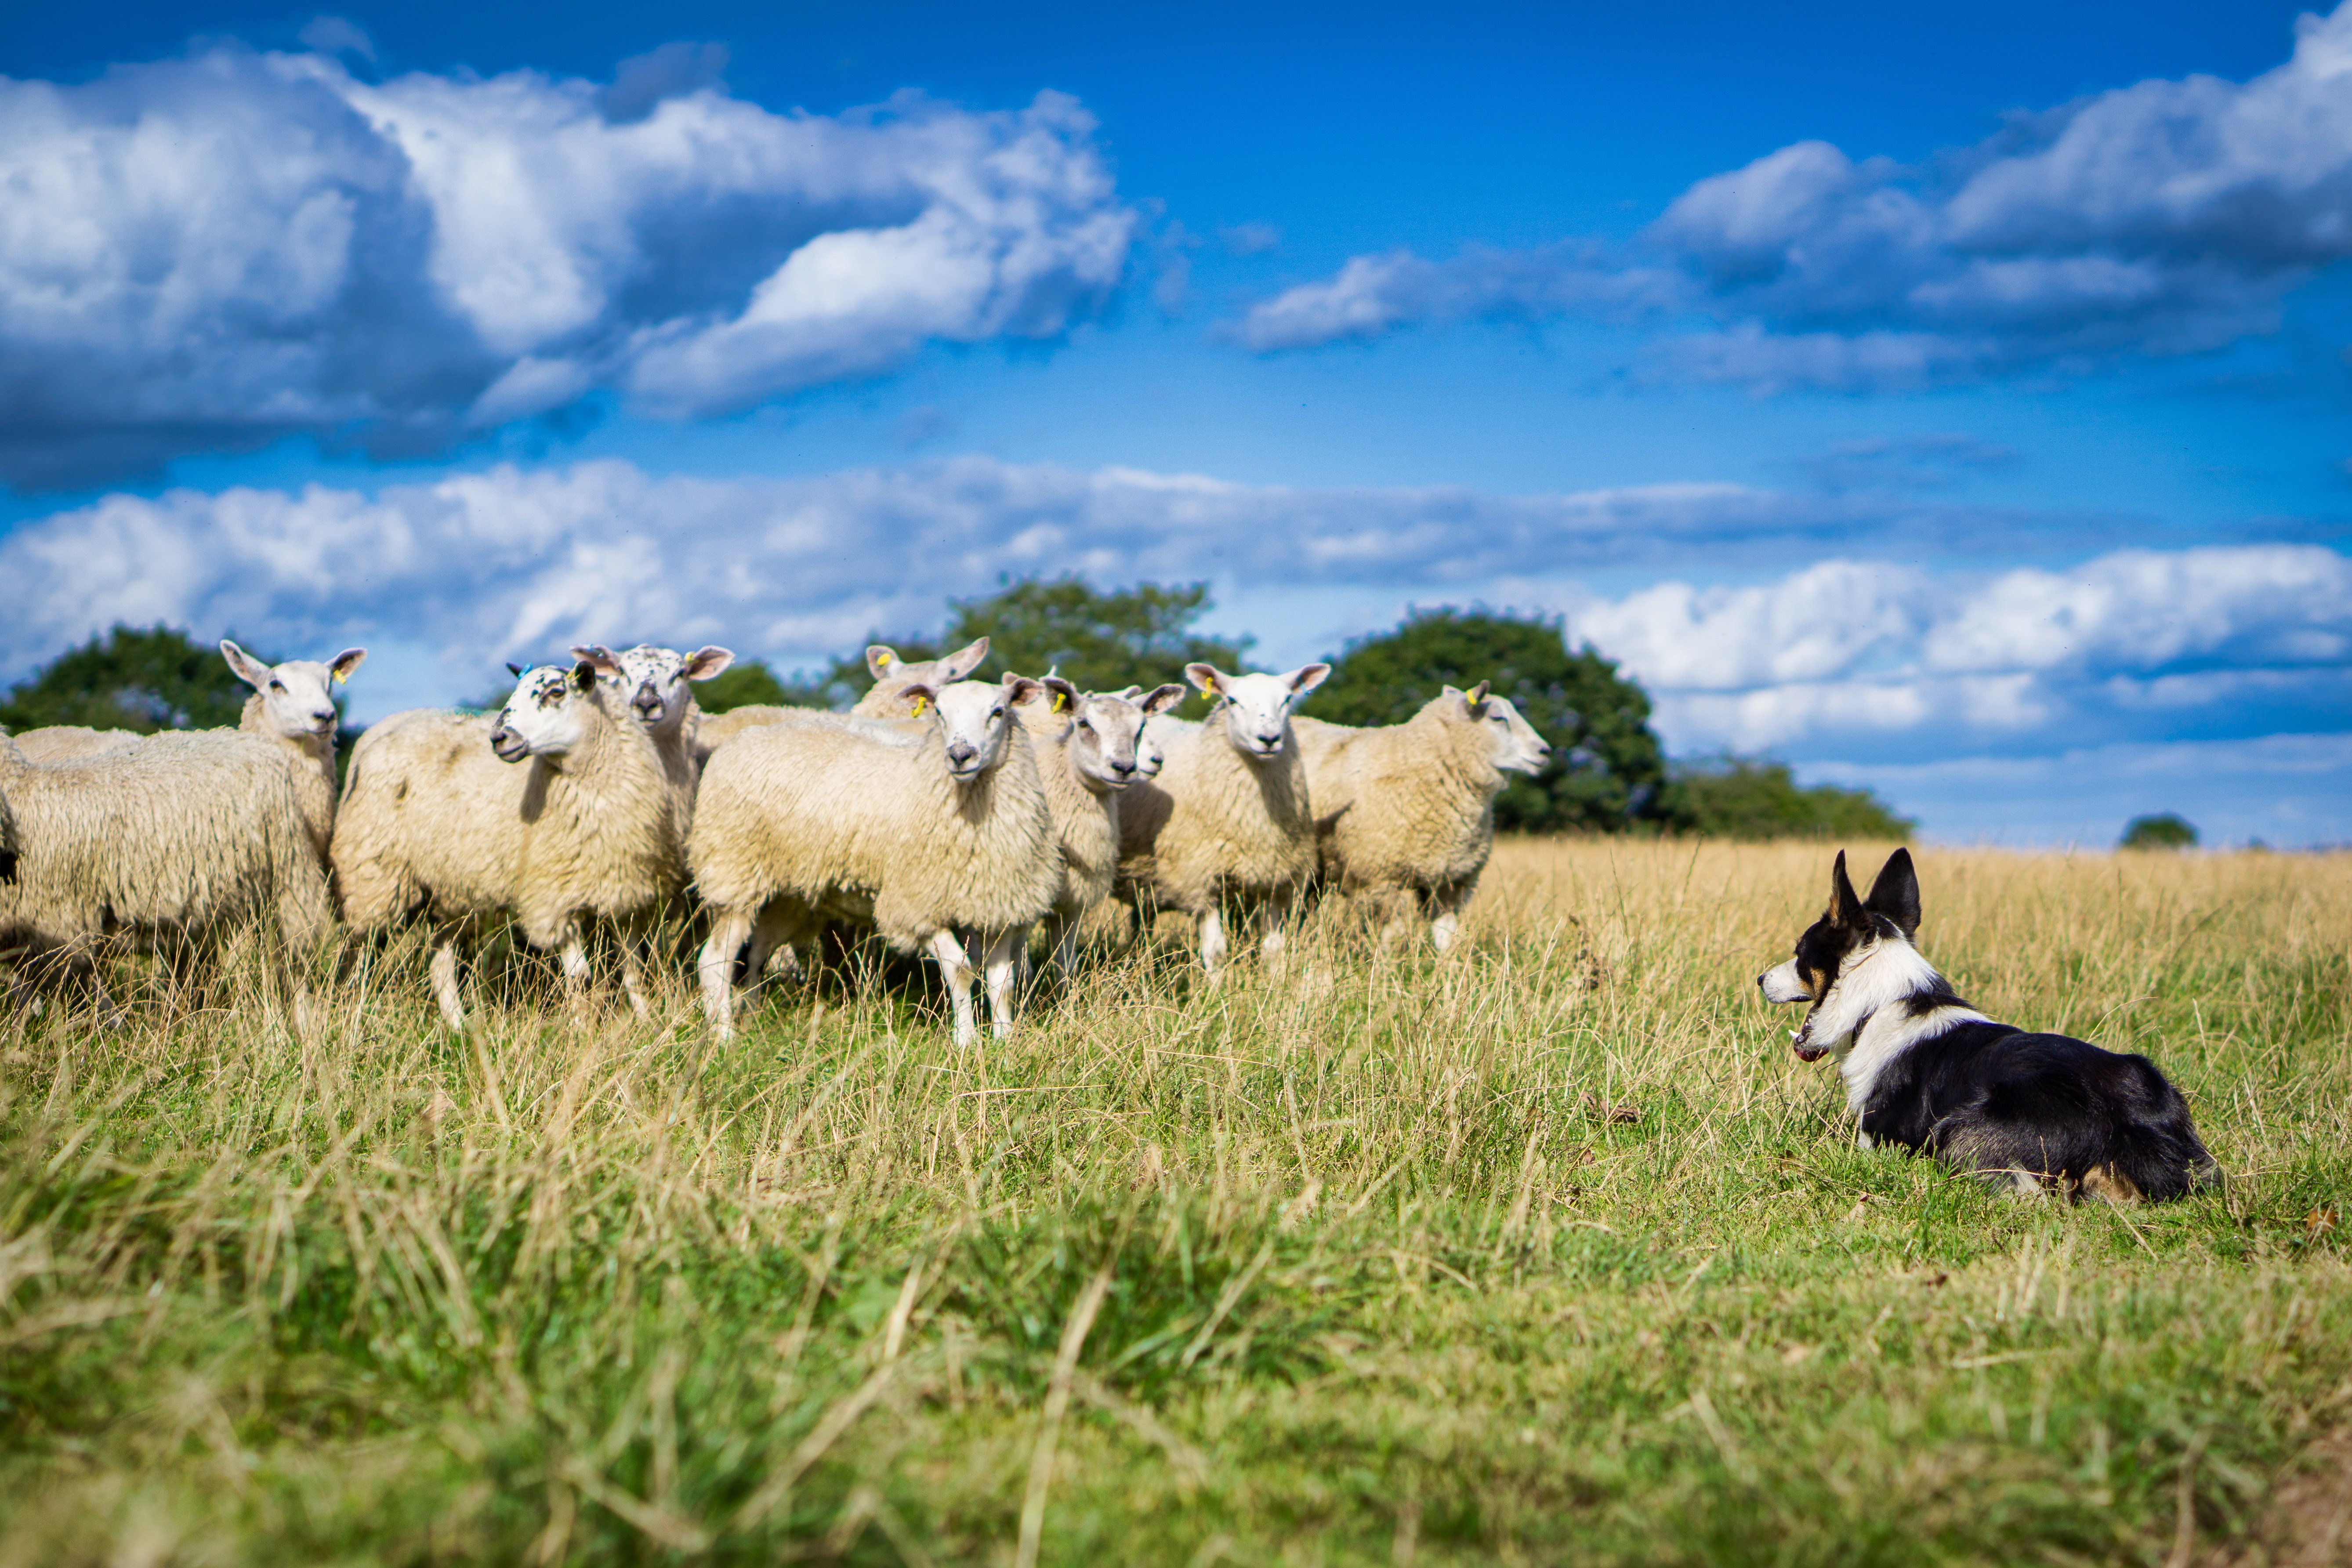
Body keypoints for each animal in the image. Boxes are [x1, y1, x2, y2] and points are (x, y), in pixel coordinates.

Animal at [334, 648, 682, 1029]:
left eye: (556, 692)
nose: (499, 738)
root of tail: (377, 737)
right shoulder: (555, 898)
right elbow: (580, 978)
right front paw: (582, 1030)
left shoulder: (624, 893)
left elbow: (634, 966)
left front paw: (647, 1022)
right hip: (375, 874)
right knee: (358, 951)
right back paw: (350, 1014)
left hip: (447, 888)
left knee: (440, 961)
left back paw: (458, 1026)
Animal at [687, 672, 1058, 1043]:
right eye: (938, 712)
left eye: (998, 711)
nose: (960, 755)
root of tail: (738, 740)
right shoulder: (915, 905)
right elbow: (961, 970)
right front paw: (966, 1039)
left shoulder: (1000, 907)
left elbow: (1003, 980)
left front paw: (1004, 1039)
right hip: (733, 872)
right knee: (714, 960)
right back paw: (724, 1035)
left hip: (785, 894)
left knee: (758, 952)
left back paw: (751, 1015)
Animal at [1115, 667, 1326, 982]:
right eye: (1232, 700)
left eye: (1288, 699)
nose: (1269, 739)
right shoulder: (1201, 877)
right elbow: (1216, 951)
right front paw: (1217, 989)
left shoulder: (1273, 876)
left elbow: (1273, 948)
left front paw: (1275, 984)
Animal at [1289, 681, 1543, 949]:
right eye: (1498, 718)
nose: (1545, 751)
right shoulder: (1383, 879)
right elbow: (1393, 935)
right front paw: (1387, 961)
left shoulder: (1450, 882)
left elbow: (1446, 937)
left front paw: (1447, 962)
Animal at [1759, 846, 2211, 1203]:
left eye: (1799, 952)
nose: (1760, 979)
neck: (1879, 1004)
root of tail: (2129, 1122)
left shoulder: (1873, 1141)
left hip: (1957, 1130)